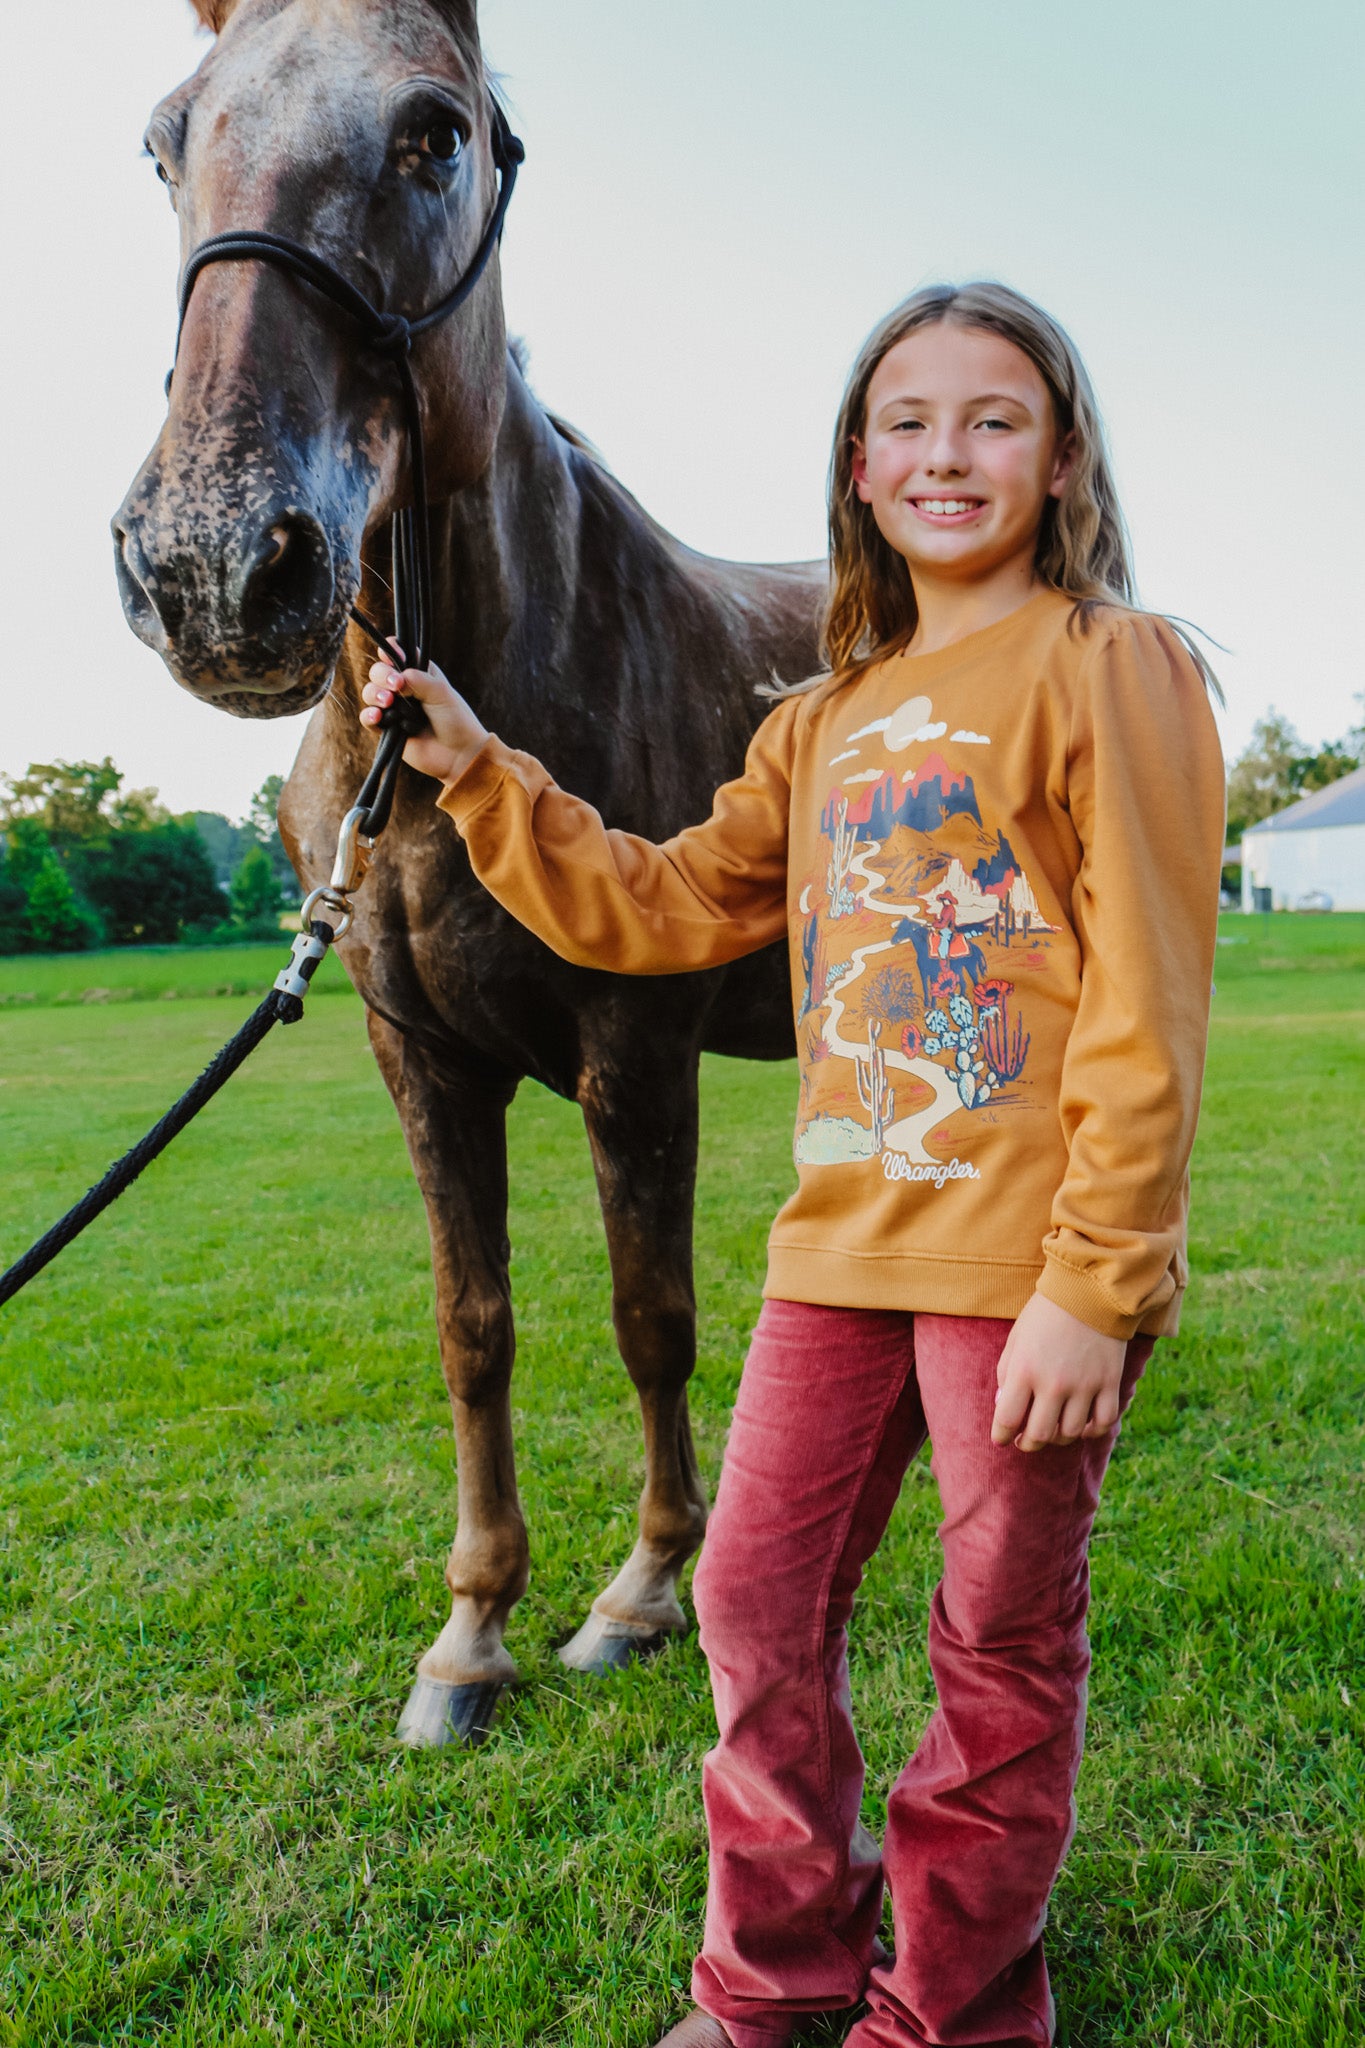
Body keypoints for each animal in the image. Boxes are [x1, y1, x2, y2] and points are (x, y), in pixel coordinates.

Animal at [114, 0, 822, 1753]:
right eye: (166, 140)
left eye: (437, 133)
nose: (214, 563)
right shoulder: (420, 1060)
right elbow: (473, 1328)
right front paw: (473, 1633)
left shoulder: (639, 1057)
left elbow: (650, 1317)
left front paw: (642, 1595)